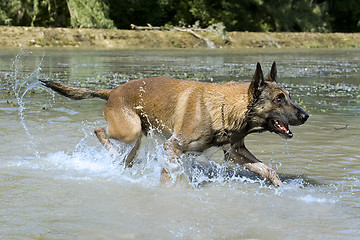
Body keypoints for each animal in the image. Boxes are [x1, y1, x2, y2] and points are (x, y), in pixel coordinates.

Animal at [40, 61, 308, 186]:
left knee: (126, 155)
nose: (305, 116)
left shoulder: (235, 151)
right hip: (130, 130)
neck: (225, 108)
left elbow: (267, 170)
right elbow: (170, 176)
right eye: (279, 98)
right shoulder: (172, 147)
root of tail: (113, 91)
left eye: (289, 96)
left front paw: (282, 188)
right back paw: (113, 153)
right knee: (99, 130)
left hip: (137, 139)